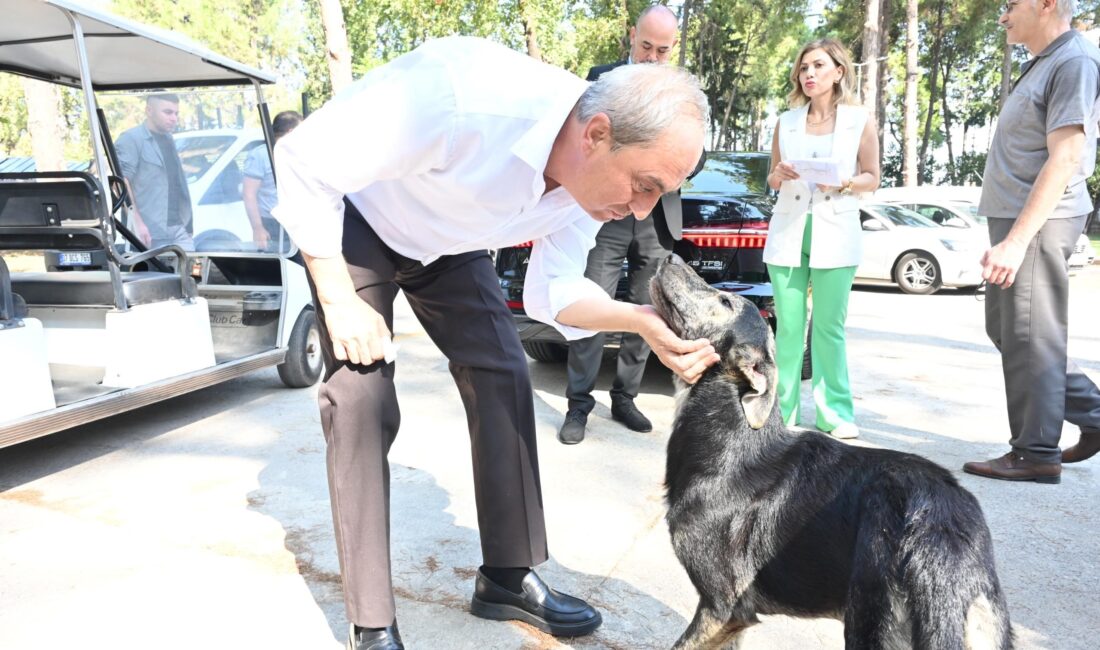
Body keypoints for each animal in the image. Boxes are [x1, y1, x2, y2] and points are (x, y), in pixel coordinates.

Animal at [642, 257, 1012, 650]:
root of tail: (940, 527)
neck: (731, 438)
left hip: (869, 619)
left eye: (725, 301)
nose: (670, 257)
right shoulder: (730, 624)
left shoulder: (722, 608)